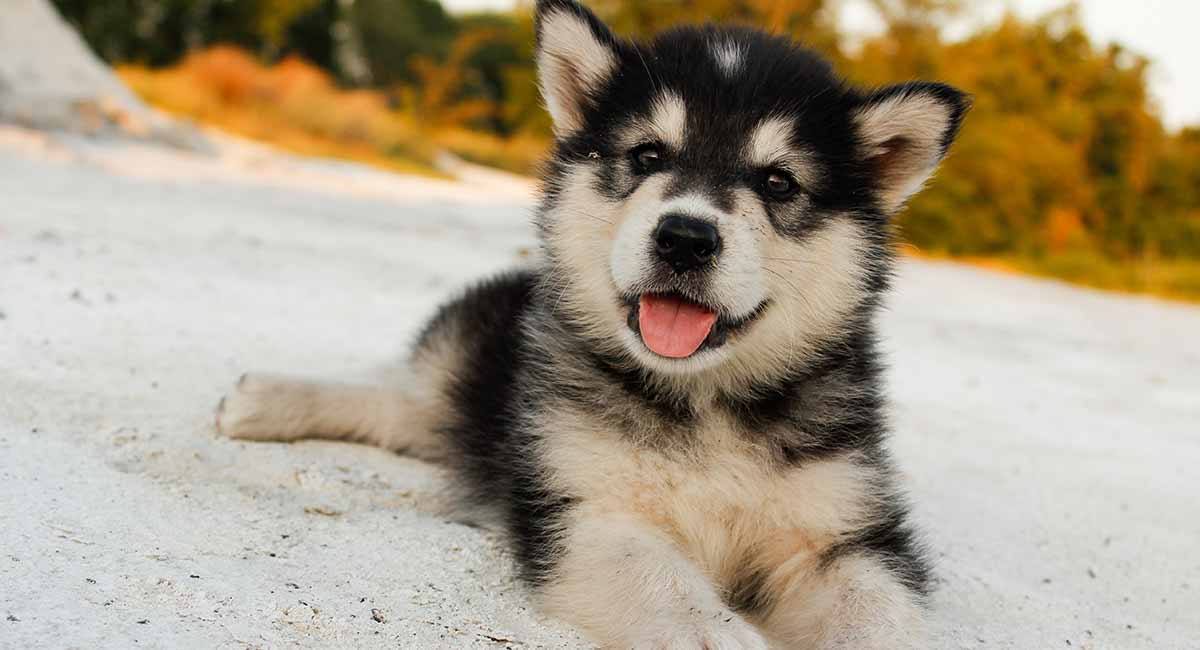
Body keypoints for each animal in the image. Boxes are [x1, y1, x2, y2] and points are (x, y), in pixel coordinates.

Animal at [216, 2, 964, 647]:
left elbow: (879, 614)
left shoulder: (844, 534)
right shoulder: (580, 505)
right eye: (648, 156)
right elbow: (674, 593)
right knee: (403, 397)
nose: (685, 237)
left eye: (778, 182)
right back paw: (264, 399)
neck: (703, 401)